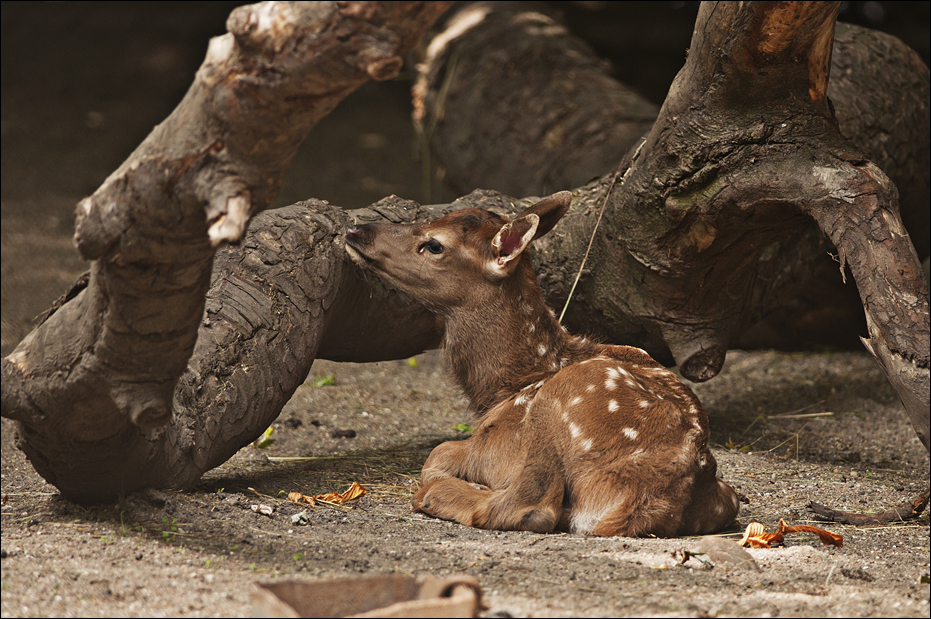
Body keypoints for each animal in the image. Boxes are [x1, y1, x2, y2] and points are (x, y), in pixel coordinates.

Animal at [344, 191, 739, 536]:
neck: (502, 388)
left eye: (434, 244)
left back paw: (439, 495)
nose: (356, 230)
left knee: (529, 506)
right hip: (727, 497)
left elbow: (437, 454)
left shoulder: (494, 447)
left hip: (556, 403)